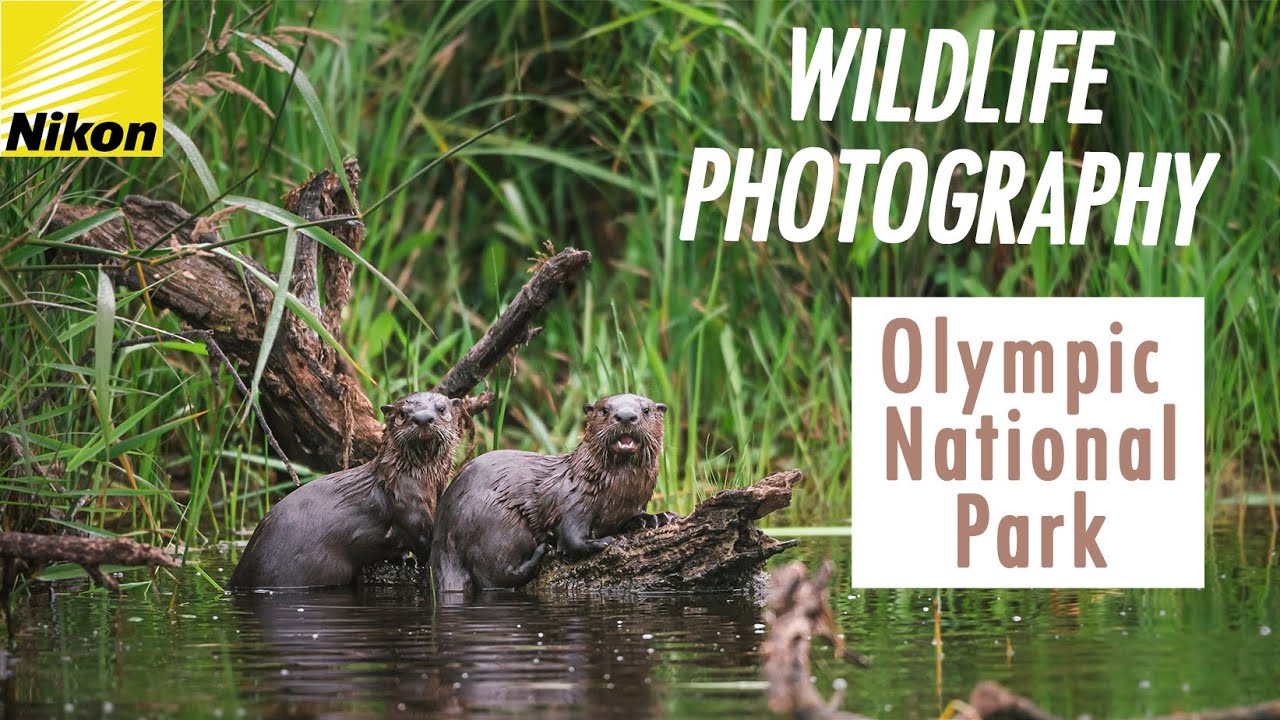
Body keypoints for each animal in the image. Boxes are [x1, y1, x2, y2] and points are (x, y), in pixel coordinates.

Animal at [229, 391, 464, 589]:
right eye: (402, 414)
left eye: (441, 409)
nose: (423, 418)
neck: (414, 480)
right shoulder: (408, 508)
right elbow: (421, 540)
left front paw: (403, 560)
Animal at [429, 393, 677, 595]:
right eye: (605, 410)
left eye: (646, 410)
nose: (625, 416)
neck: (618, 492)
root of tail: (443, 533)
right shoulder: (573, 498)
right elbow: (571, 537)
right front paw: (603, 541)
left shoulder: (633, 503)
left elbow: (635, 516)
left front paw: (656, 517)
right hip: (499, 523)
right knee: (494, 574)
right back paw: (541, 550)